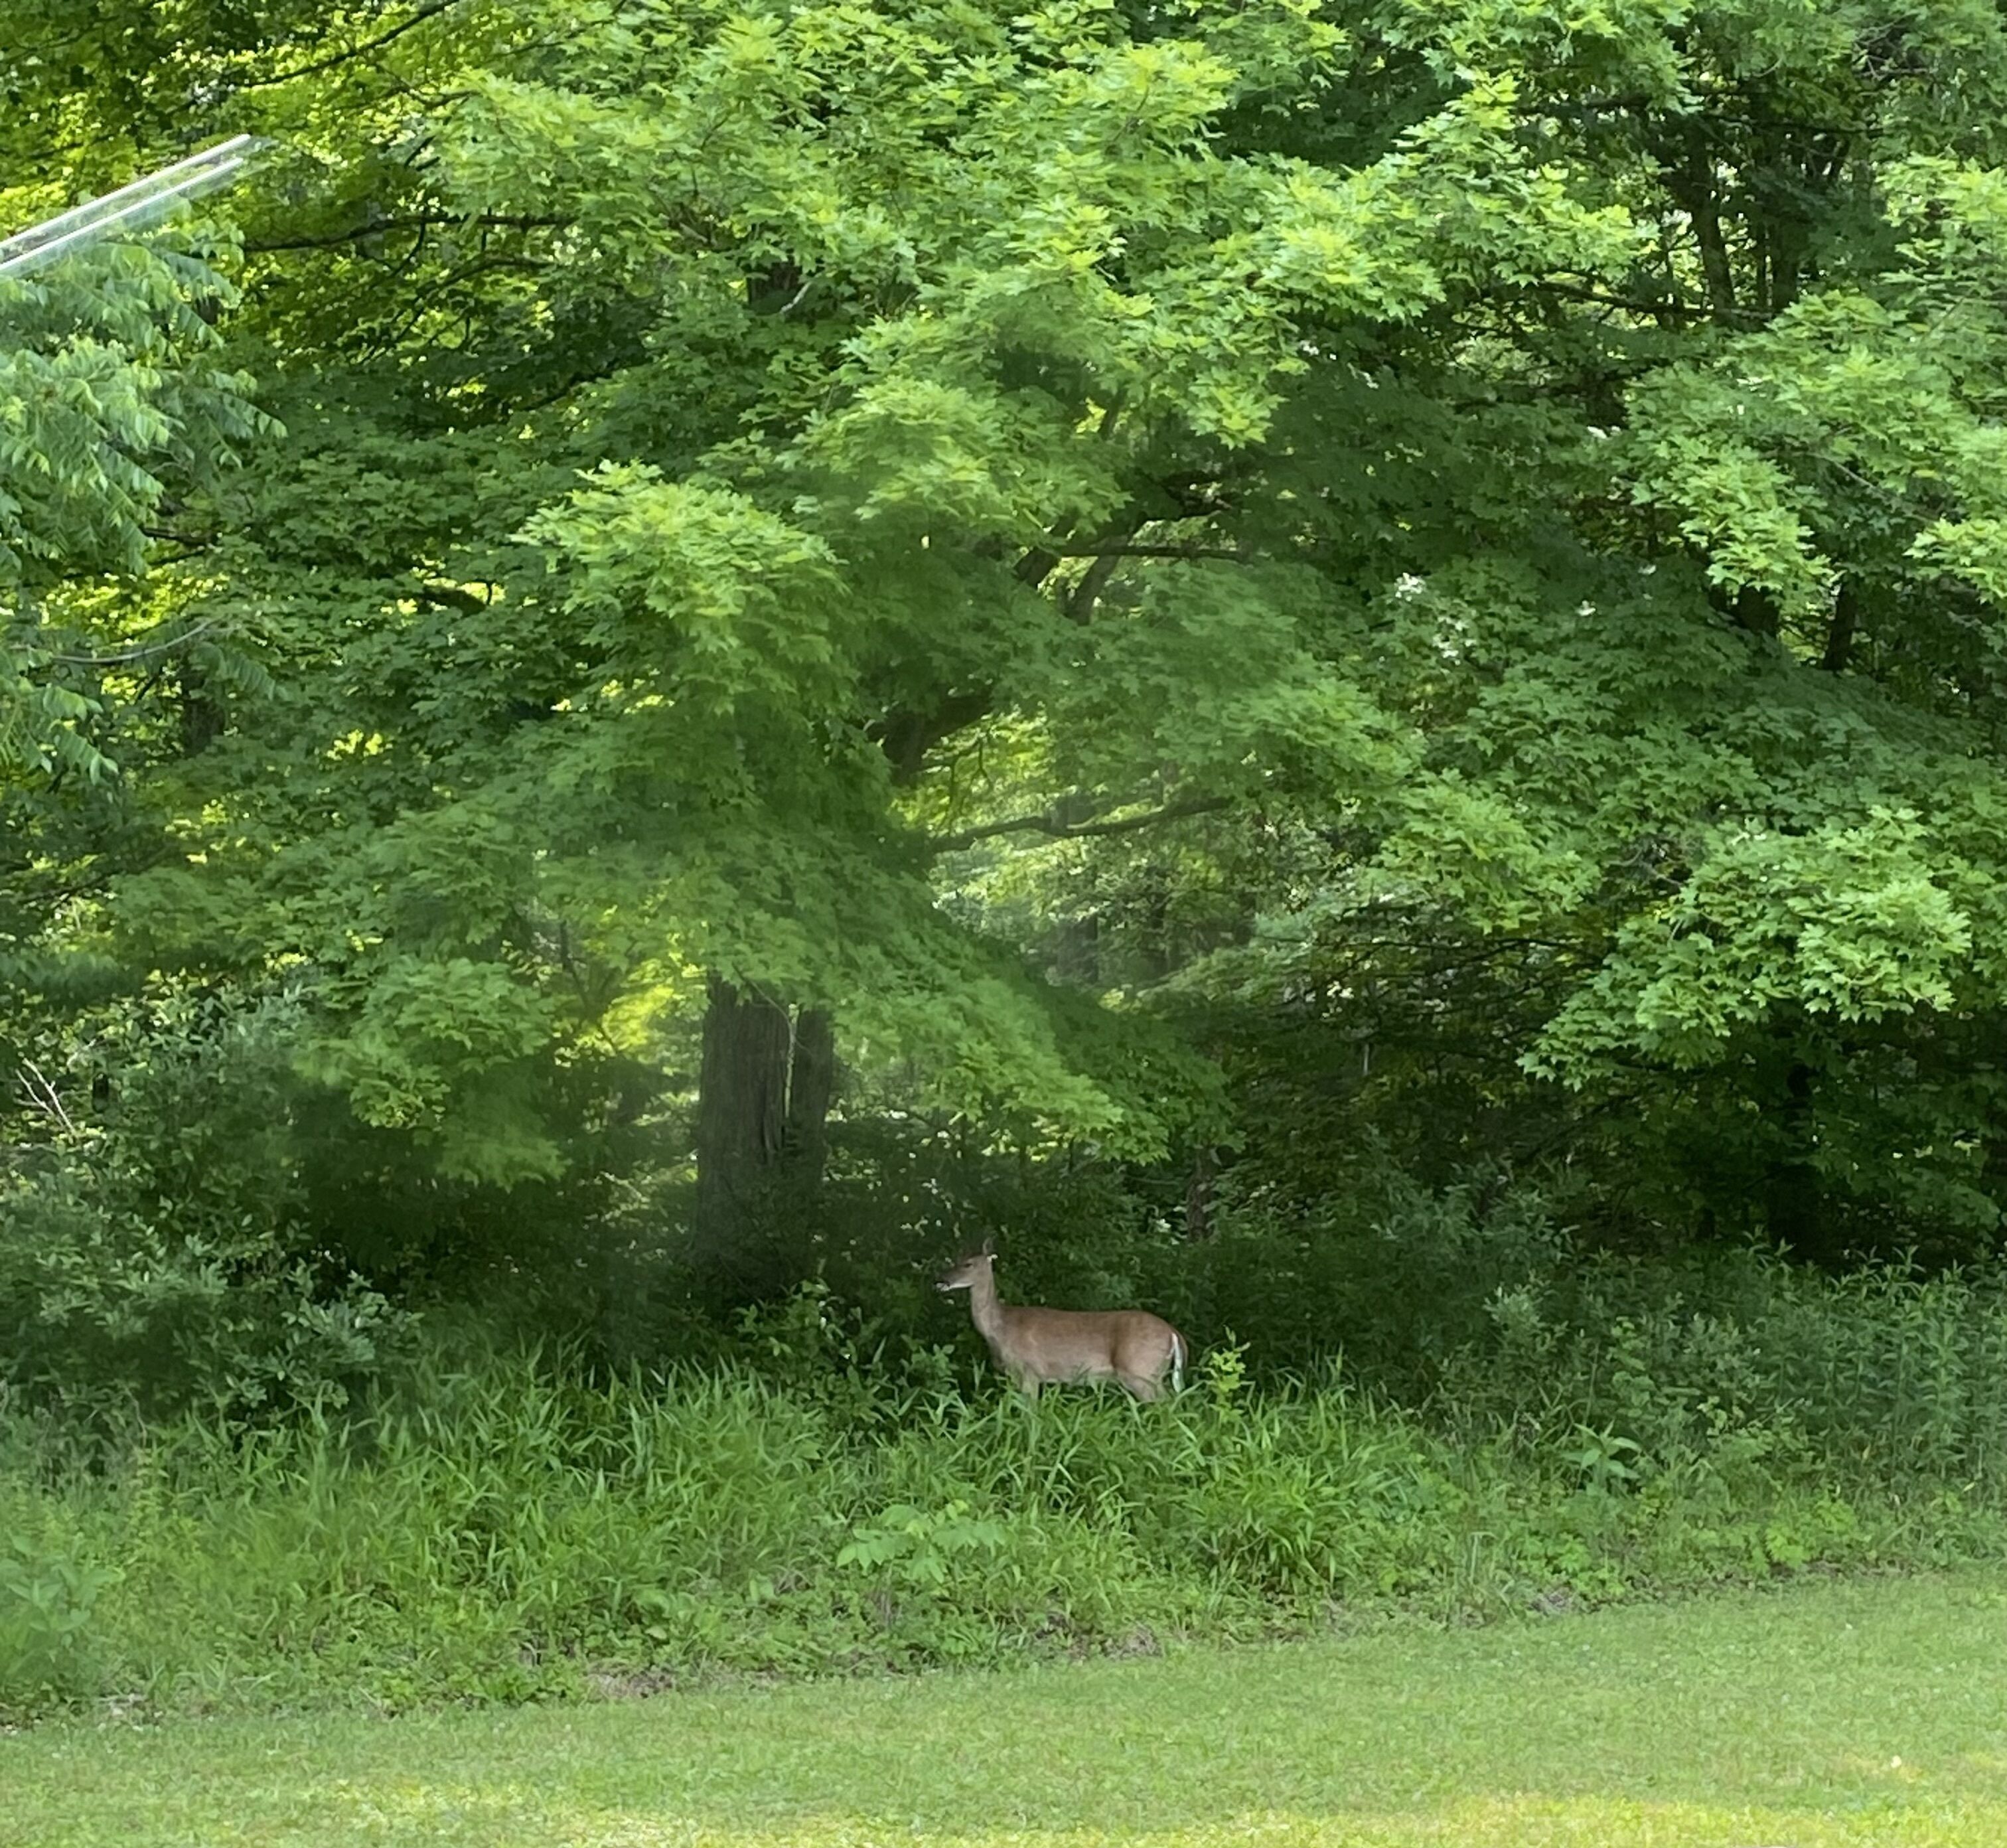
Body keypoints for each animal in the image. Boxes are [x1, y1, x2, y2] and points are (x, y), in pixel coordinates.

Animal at [935, 1241, 1187, 1400]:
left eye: (968, 1264)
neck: (1000, 1330)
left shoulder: (1030, 1371)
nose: (941, 1280)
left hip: (1141, 1370)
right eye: (955, 1259)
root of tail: (1173, 1332)